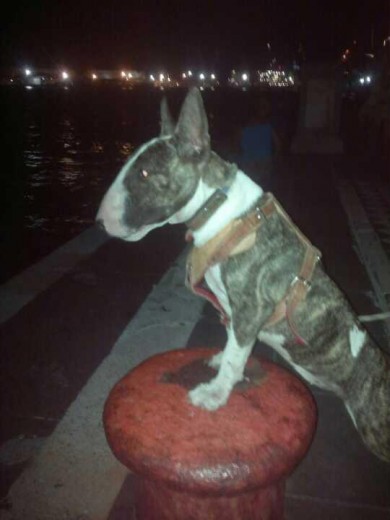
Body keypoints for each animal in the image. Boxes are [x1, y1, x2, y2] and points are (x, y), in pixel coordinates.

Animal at [96, 87, 388, 462]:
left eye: (145, 174)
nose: (99, 221)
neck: (218, 208)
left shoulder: (251, 307)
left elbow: (236, 359)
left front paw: (215, 394)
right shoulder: (233, 312)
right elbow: (232, 345)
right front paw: (221, 360)